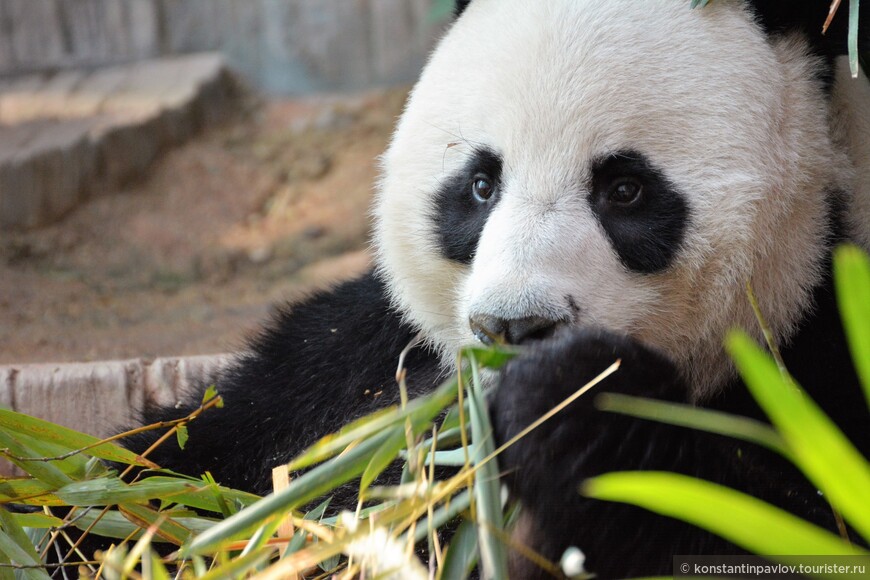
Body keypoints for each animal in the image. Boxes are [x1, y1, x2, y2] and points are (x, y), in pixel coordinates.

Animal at [126, 2, 868, 576]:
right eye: (481, 185)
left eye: (625, 190)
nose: (512, 327)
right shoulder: (344, 366)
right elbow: (175, 473)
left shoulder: (815, 352)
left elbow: (784, 525)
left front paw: (573, 399)